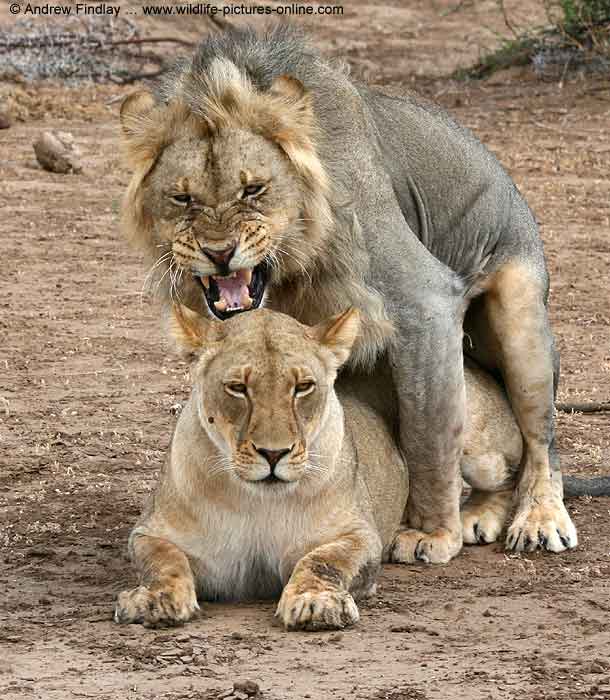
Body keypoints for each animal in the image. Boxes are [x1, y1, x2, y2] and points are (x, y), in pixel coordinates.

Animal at [115, 306, 532, 628]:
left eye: (303, 387)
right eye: (237, 387)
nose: (273, 454)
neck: (256, 501)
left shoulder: (358, 535)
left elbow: (323, 560)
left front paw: (315, 603)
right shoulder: (152, 532)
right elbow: (164, 561)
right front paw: (153, 600)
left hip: (468, 433)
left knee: (512, 470)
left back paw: (475, 521)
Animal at [120, 26, 576, 564]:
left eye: (253, 189)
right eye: (182, 198)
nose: (219, 252)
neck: (292, 266)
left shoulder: (424, 302)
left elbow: (427, 436)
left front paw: (430, 533)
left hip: (522, 322)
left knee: (538, 443)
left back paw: (538, 519)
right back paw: (481, 516)